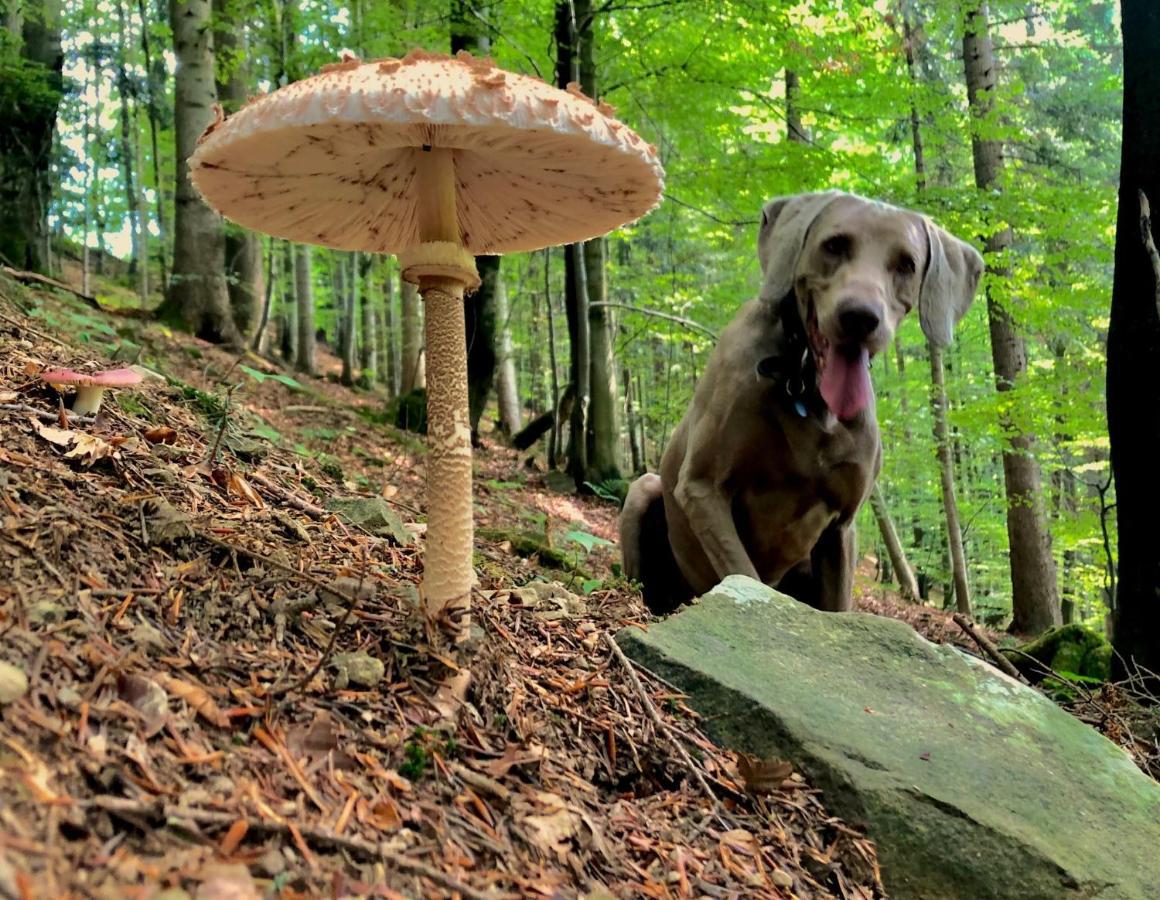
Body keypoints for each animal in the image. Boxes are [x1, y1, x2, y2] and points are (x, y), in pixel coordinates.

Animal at [621, 192, 983, 617]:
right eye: (835, 245)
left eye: (906, 265)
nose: (860, 317)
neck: (806, 385)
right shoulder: (702, 488)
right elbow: (746, 577)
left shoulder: (842, 526)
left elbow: (838, 604)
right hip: (644, 489)